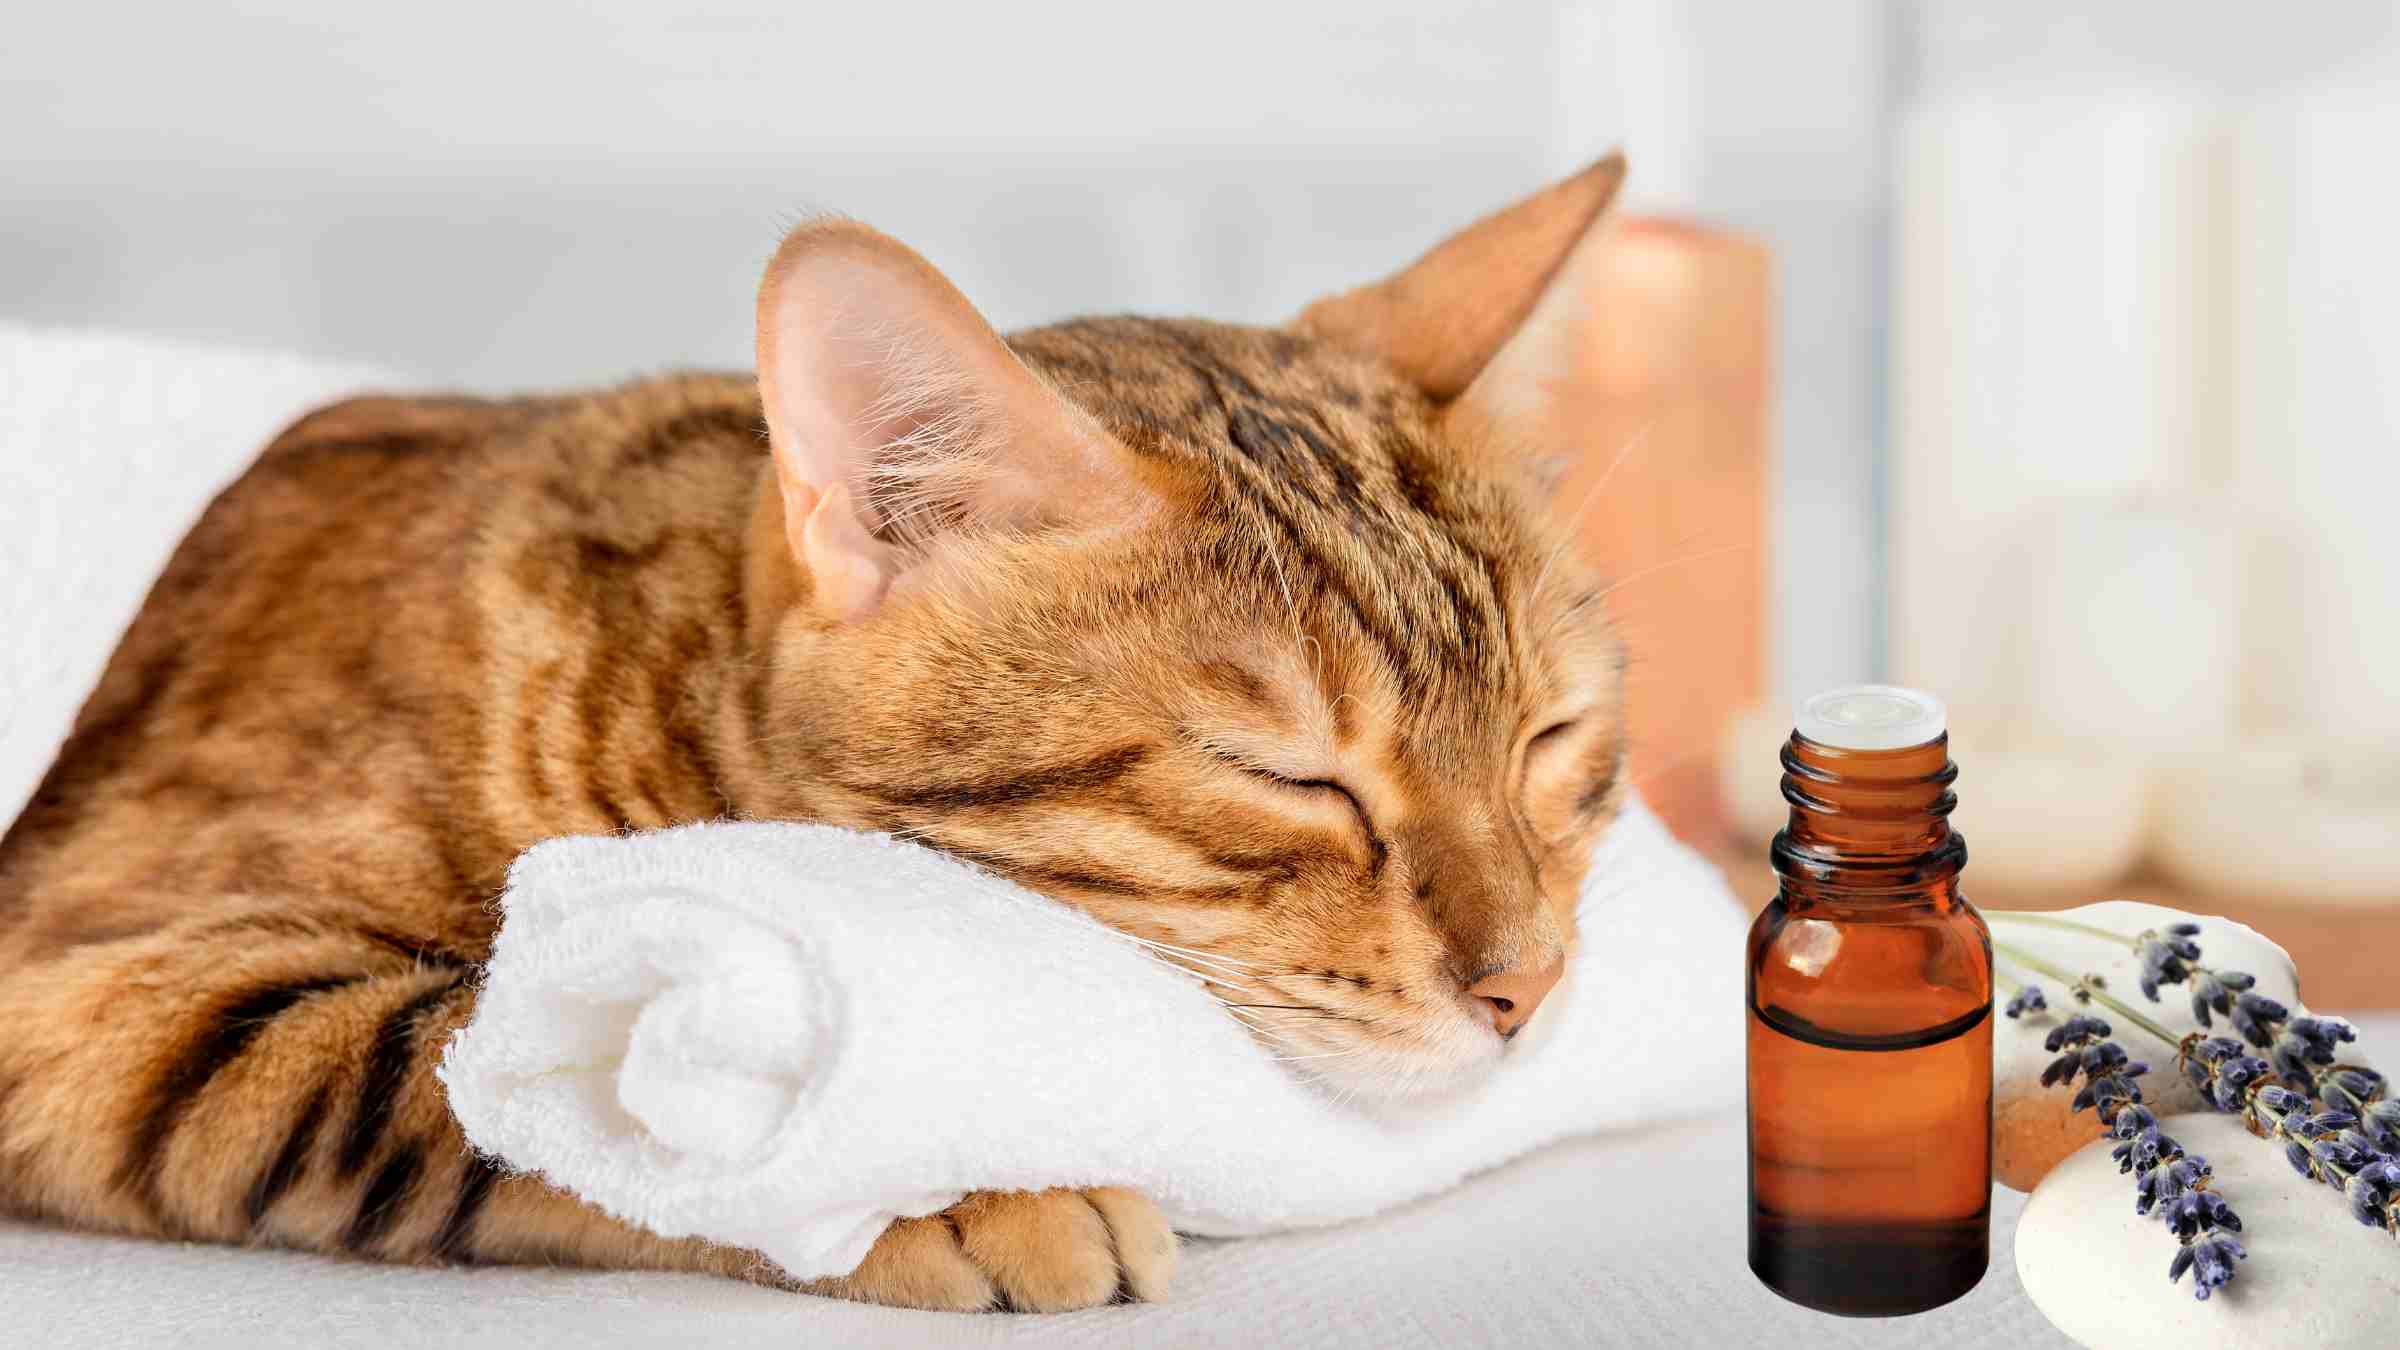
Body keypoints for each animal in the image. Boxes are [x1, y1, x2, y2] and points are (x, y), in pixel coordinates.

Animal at [0, 154, 1632, 1306]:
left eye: (1550, 740)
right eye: (1288, 778)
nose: (1532, 986)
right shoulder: (92, 978)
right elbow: (536, 1067)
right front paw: (959, 1185)